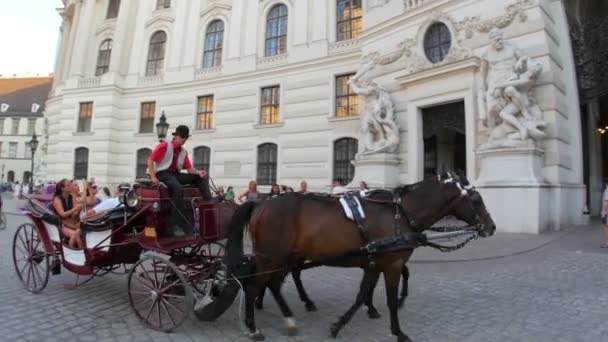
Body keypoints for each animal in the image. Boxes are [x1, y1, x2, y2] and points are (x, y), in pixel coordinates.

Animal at [224, 174, 494, 342]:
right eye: (476, 199)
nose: (490, 227)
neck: (400, 213)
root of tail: (261, 204)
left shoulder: (374, 263)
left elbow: (363, 293)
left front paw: (341, 323)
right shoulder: (392, 264)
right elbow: (390, 300)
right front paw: (398, 331)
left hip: (281, 258)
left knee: (271, 284)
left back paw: (288, 317)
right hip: (272, 257)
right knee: (254, 286)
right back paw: (253, 327)